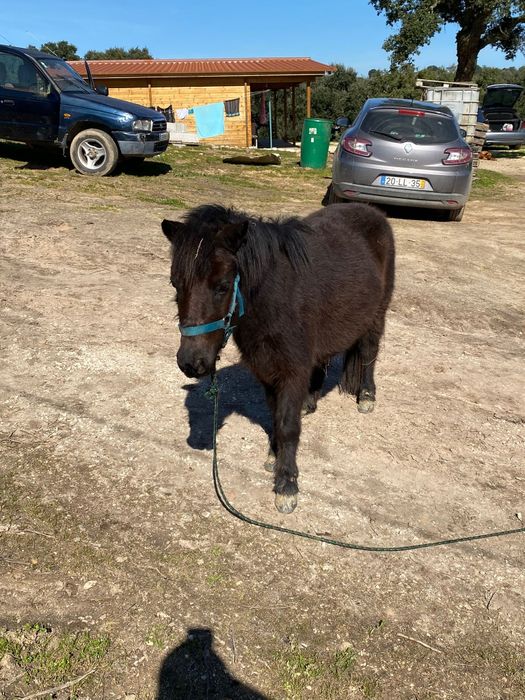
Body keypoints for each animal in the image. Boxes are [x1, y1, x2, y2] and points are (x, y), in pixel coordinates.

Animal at [161, 203, 395, 514]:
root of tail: (373, 211)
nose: (191, 363)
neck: (275, 297)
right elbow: (275, 416)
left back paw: (367, 396)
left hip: (376, 315)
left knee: (369, 352)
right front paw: (274, 455)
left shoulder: (291, 371)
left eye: (222, 286)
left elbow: (287, 426)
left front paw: (286, 485)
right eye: (175, 284)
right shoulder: (267, 369)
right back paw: (309, 402)